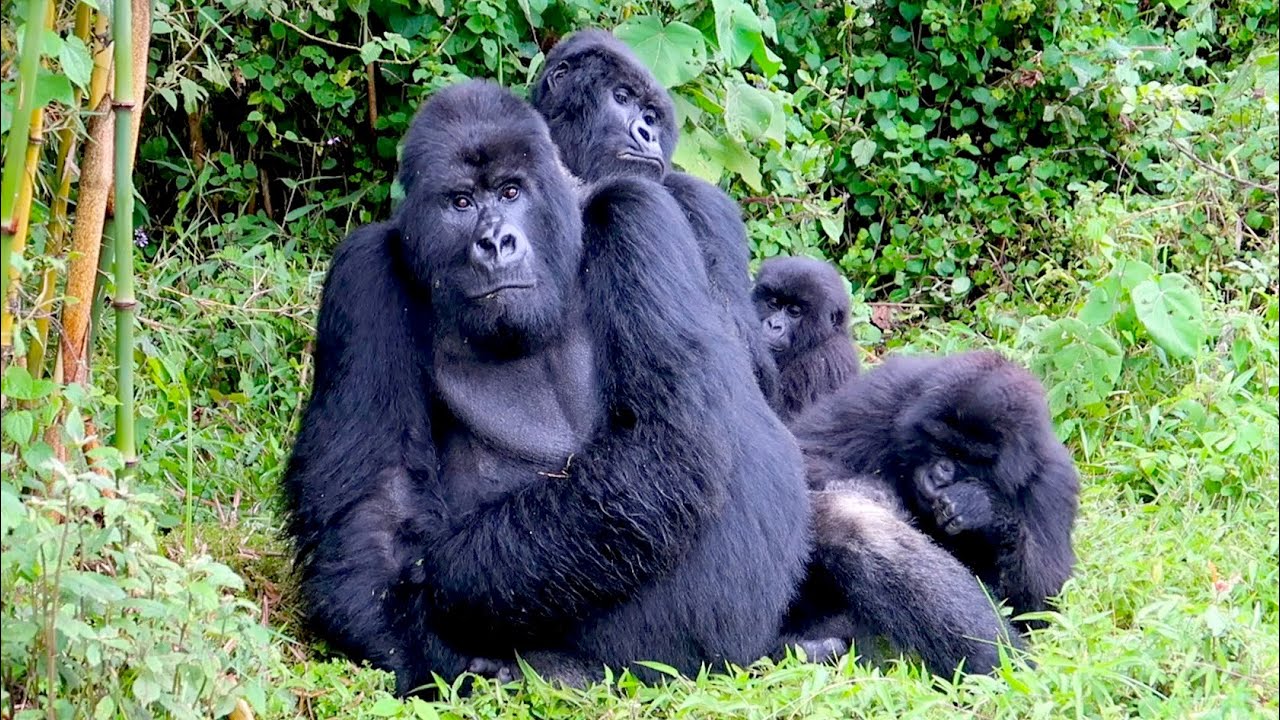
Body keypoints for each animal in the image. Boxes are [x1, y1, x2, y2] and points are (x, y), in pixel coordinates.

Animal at [285, 79, 814, 696]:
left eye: (511, 191)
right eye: (461, 203)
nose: (496, 243)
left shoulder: (639, 217)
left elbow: (668, 444)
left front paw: (444, 581)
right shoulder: (363, 272)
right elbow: (375, 503)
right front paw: (418, 649)